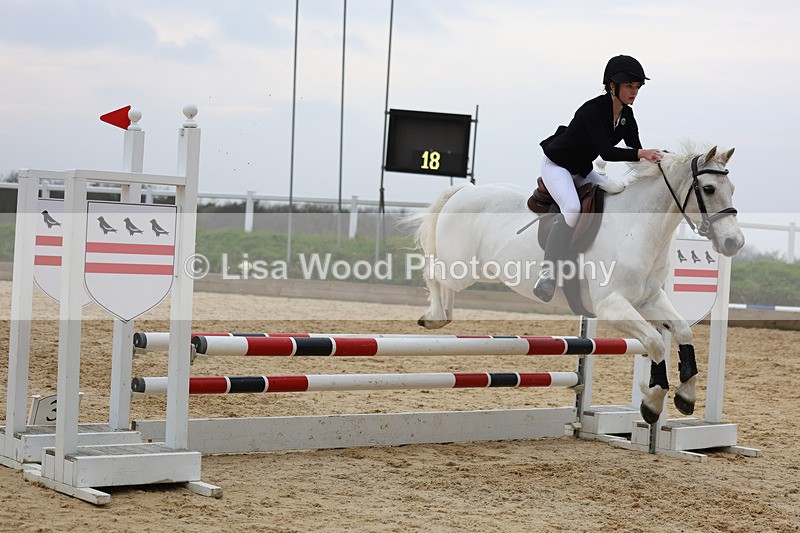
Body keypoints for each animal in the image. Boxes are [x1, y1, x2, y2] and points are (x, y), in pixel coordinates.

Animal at [410, 143, 743, 424]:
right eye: (709, 189)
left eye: (732, 189)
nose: (734, 243)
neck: (636, 228)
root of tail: (464, 191)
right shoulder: (611, 306)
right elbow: (655, 342)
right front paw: (652, 404)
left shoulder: (648, 300)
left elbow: (683, 331)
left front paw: (686, 396)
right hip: (462, 268)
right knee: (433, 271)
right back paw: (434, 316)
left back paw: (440, 315)